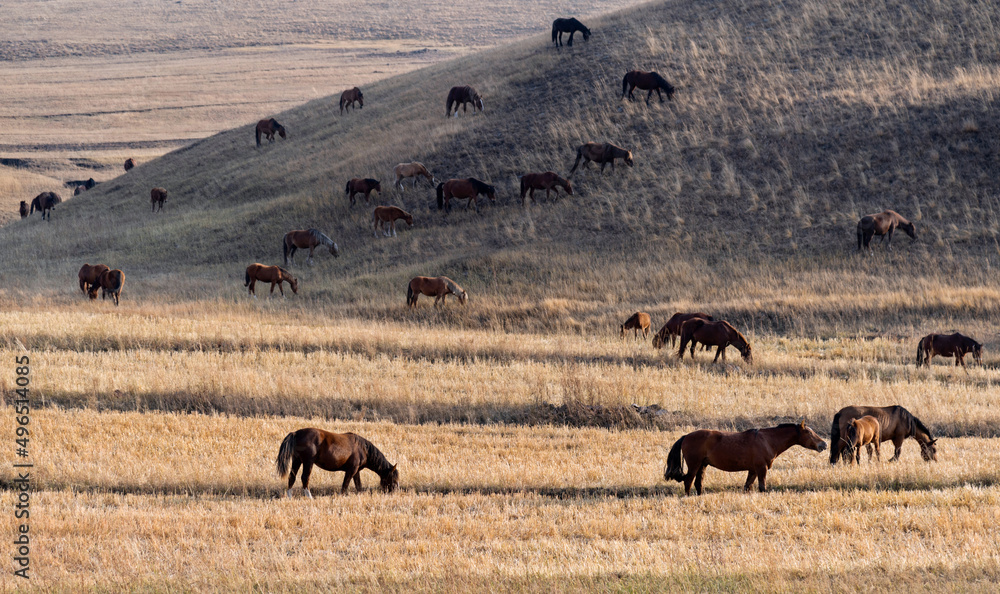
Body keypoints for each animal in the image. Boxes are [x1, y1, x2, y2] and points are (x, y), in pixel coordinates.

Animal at [664, 421, 827, 495]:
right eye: (809, 433)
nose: (824, 444)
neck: (767, 440)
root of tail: (686, 436)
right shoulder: (761, 469)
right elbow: (762, 488)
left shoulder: (753, 470)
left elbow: (747, 487)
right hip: (694, 465)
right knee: (688, 481)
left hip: (702, 465)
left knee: (698, 483)